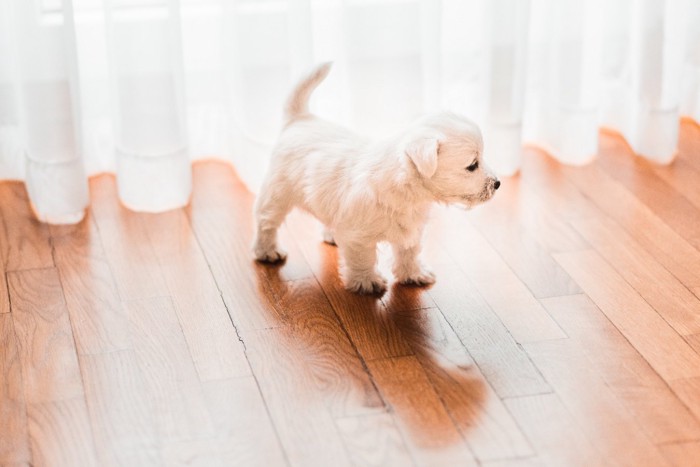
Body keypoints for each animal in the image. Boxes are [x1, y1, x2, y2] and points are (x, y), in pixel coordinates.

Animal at [254, 64, 500, 294]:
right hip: (277, 193)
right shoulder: (359, 237)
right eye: (472, 165)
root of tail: (299, 120)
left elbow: (409, 252)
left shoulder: (411, 229)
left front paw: (413, 274)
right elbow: (363, 258)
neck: (410, 190)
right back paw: (268, 251)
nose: (497, 183)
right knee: (266, 222)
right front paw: (366, 282)